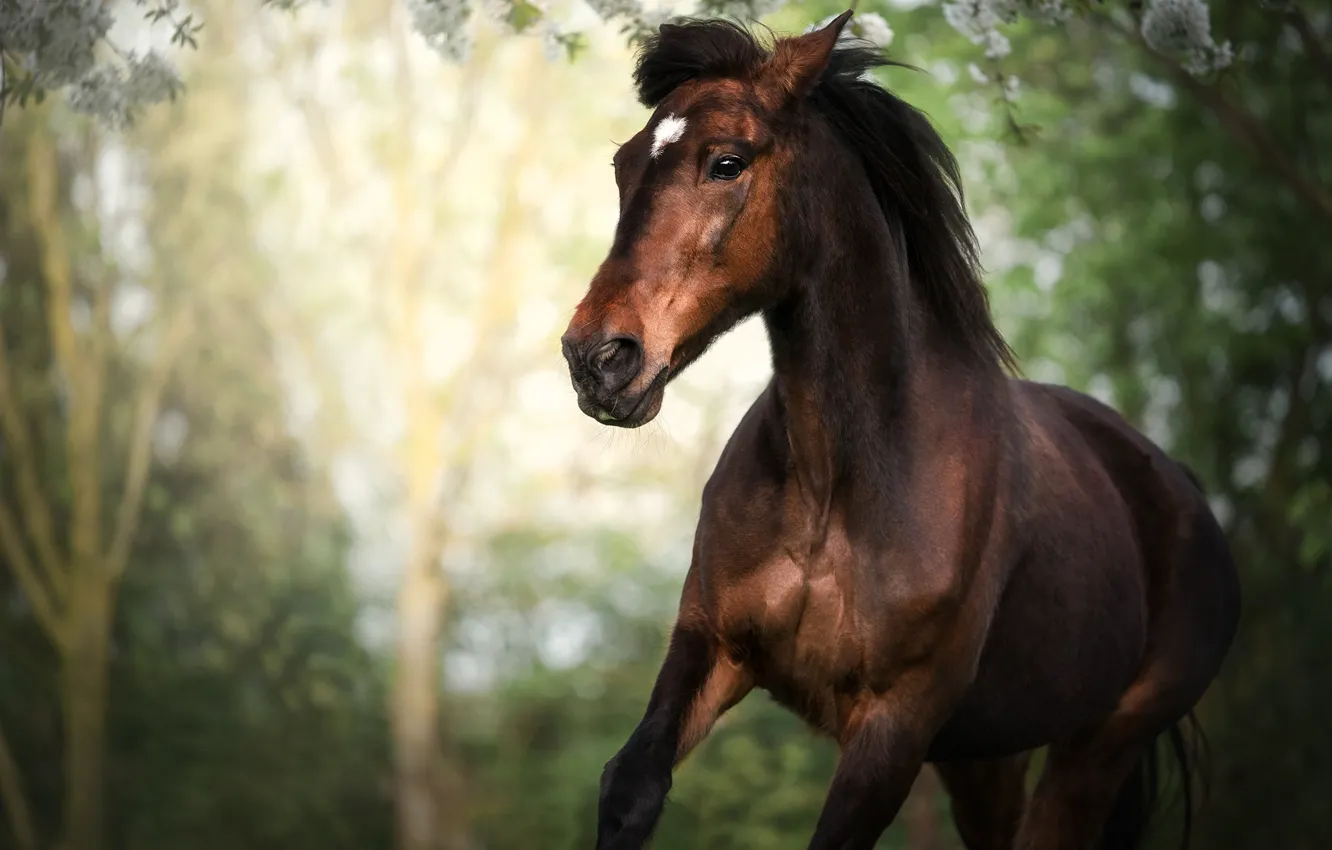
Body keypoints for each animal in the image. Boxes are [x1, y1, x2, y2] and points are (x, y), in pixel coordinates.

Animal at [558, 12, 1240, 850]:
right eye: (625, 165)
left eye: (726, 162)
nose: (598, 360)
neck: (838, 485)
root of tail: (1180, 487)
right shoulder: (710, 644)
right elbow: (632, 787)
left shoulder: (894, 729)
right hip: (986, 757)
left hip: (1097, 748)